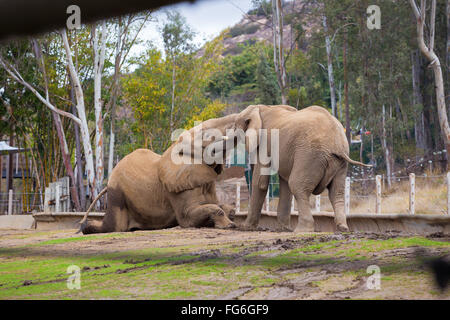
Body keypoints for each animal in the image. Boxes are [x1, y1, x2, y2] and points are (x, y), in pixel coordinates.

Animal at [79, 114, 237, 234]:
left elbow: (223, 207)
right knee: (115, 227)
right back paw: (86, 227)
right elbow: (188, 217)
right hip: (117, 194)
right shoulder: (177, 189)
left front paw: (228, 219)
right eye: (207, 136)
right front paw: (229, 226)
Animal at [236, 105, 370, 232]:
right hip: (339, 162)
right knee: (337, 192)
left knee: (297, 185)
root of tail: (337, 144)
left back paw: (302, 229)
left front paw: (245, 228)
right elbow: (283, 184)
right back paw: (343, 228)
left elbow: (260, 183)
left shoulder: (264, 144)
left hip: (310, 155)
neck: (260, 108)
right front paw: (284, 229)